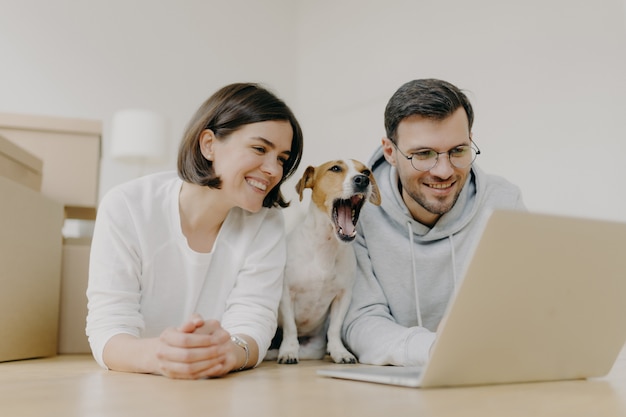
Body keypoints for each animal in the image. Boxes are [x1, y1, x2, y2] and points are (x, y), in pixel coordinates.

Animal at [270, 158, 380, 362]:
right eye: (335, 168)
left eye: (366, 171)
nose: (362, 180)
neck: (326, 247)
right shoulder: (286, 293)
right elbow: (290, 327)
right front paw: (288, 350)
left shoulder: (343, 296)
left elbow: (335, 328)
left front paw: (339, 352)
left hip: (313, 349)